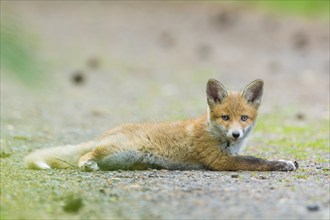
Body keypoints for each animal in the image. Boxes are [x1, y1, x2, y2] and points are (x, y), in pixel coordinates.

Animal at [25, 79, 300, 172]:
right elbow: (258, 161)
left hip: (124, 158)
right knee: (84, 154)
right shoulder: (220, 161)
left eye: (243, 118)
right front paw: (283, 163)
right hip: (119, 150)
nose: (235, 134)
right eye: (225, 117)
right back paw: (87, 164)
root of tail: (108, 132)